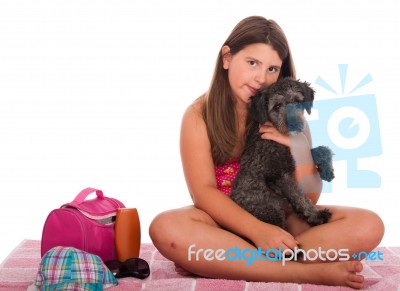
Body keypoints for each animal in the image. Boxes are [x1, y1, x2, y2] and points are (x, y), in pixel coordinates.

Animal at [230, 78, 332, 230]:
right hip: (272, 214)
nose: (294, 123)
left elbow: (321, 150)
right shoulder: (280, 176)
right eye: (277, 106)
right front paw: (316, 215)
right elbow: (300, 197)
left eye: (297, 101)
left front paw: (327, 170)